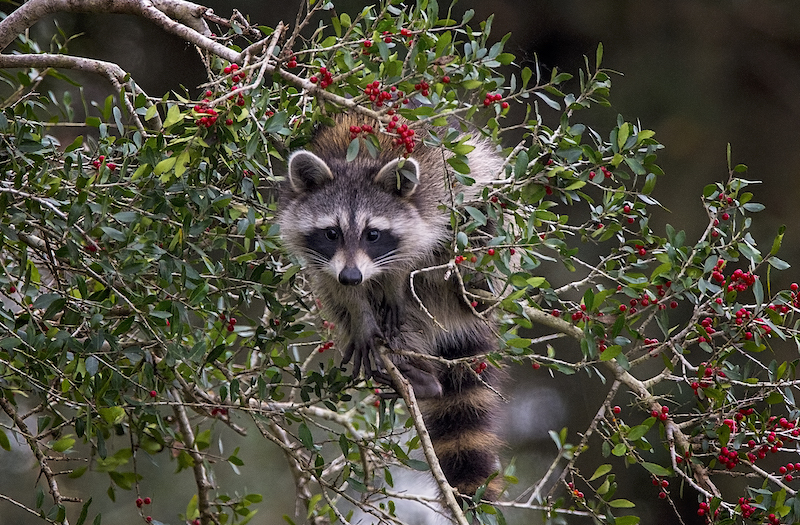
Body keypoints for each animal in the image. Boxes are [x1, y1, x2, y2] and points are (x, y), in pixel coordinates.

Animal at [278, 113, 505, 499]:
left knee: (481, 226)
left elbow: (418, 249)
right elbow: (335, 288)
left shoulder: (436, 193)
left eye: (373, 234)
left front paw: (396, 283)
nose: (352, 276)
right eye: (331, 233)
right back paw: (418, 375)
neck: (356, 160)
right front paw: (360, 315)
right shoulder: (323, 259)